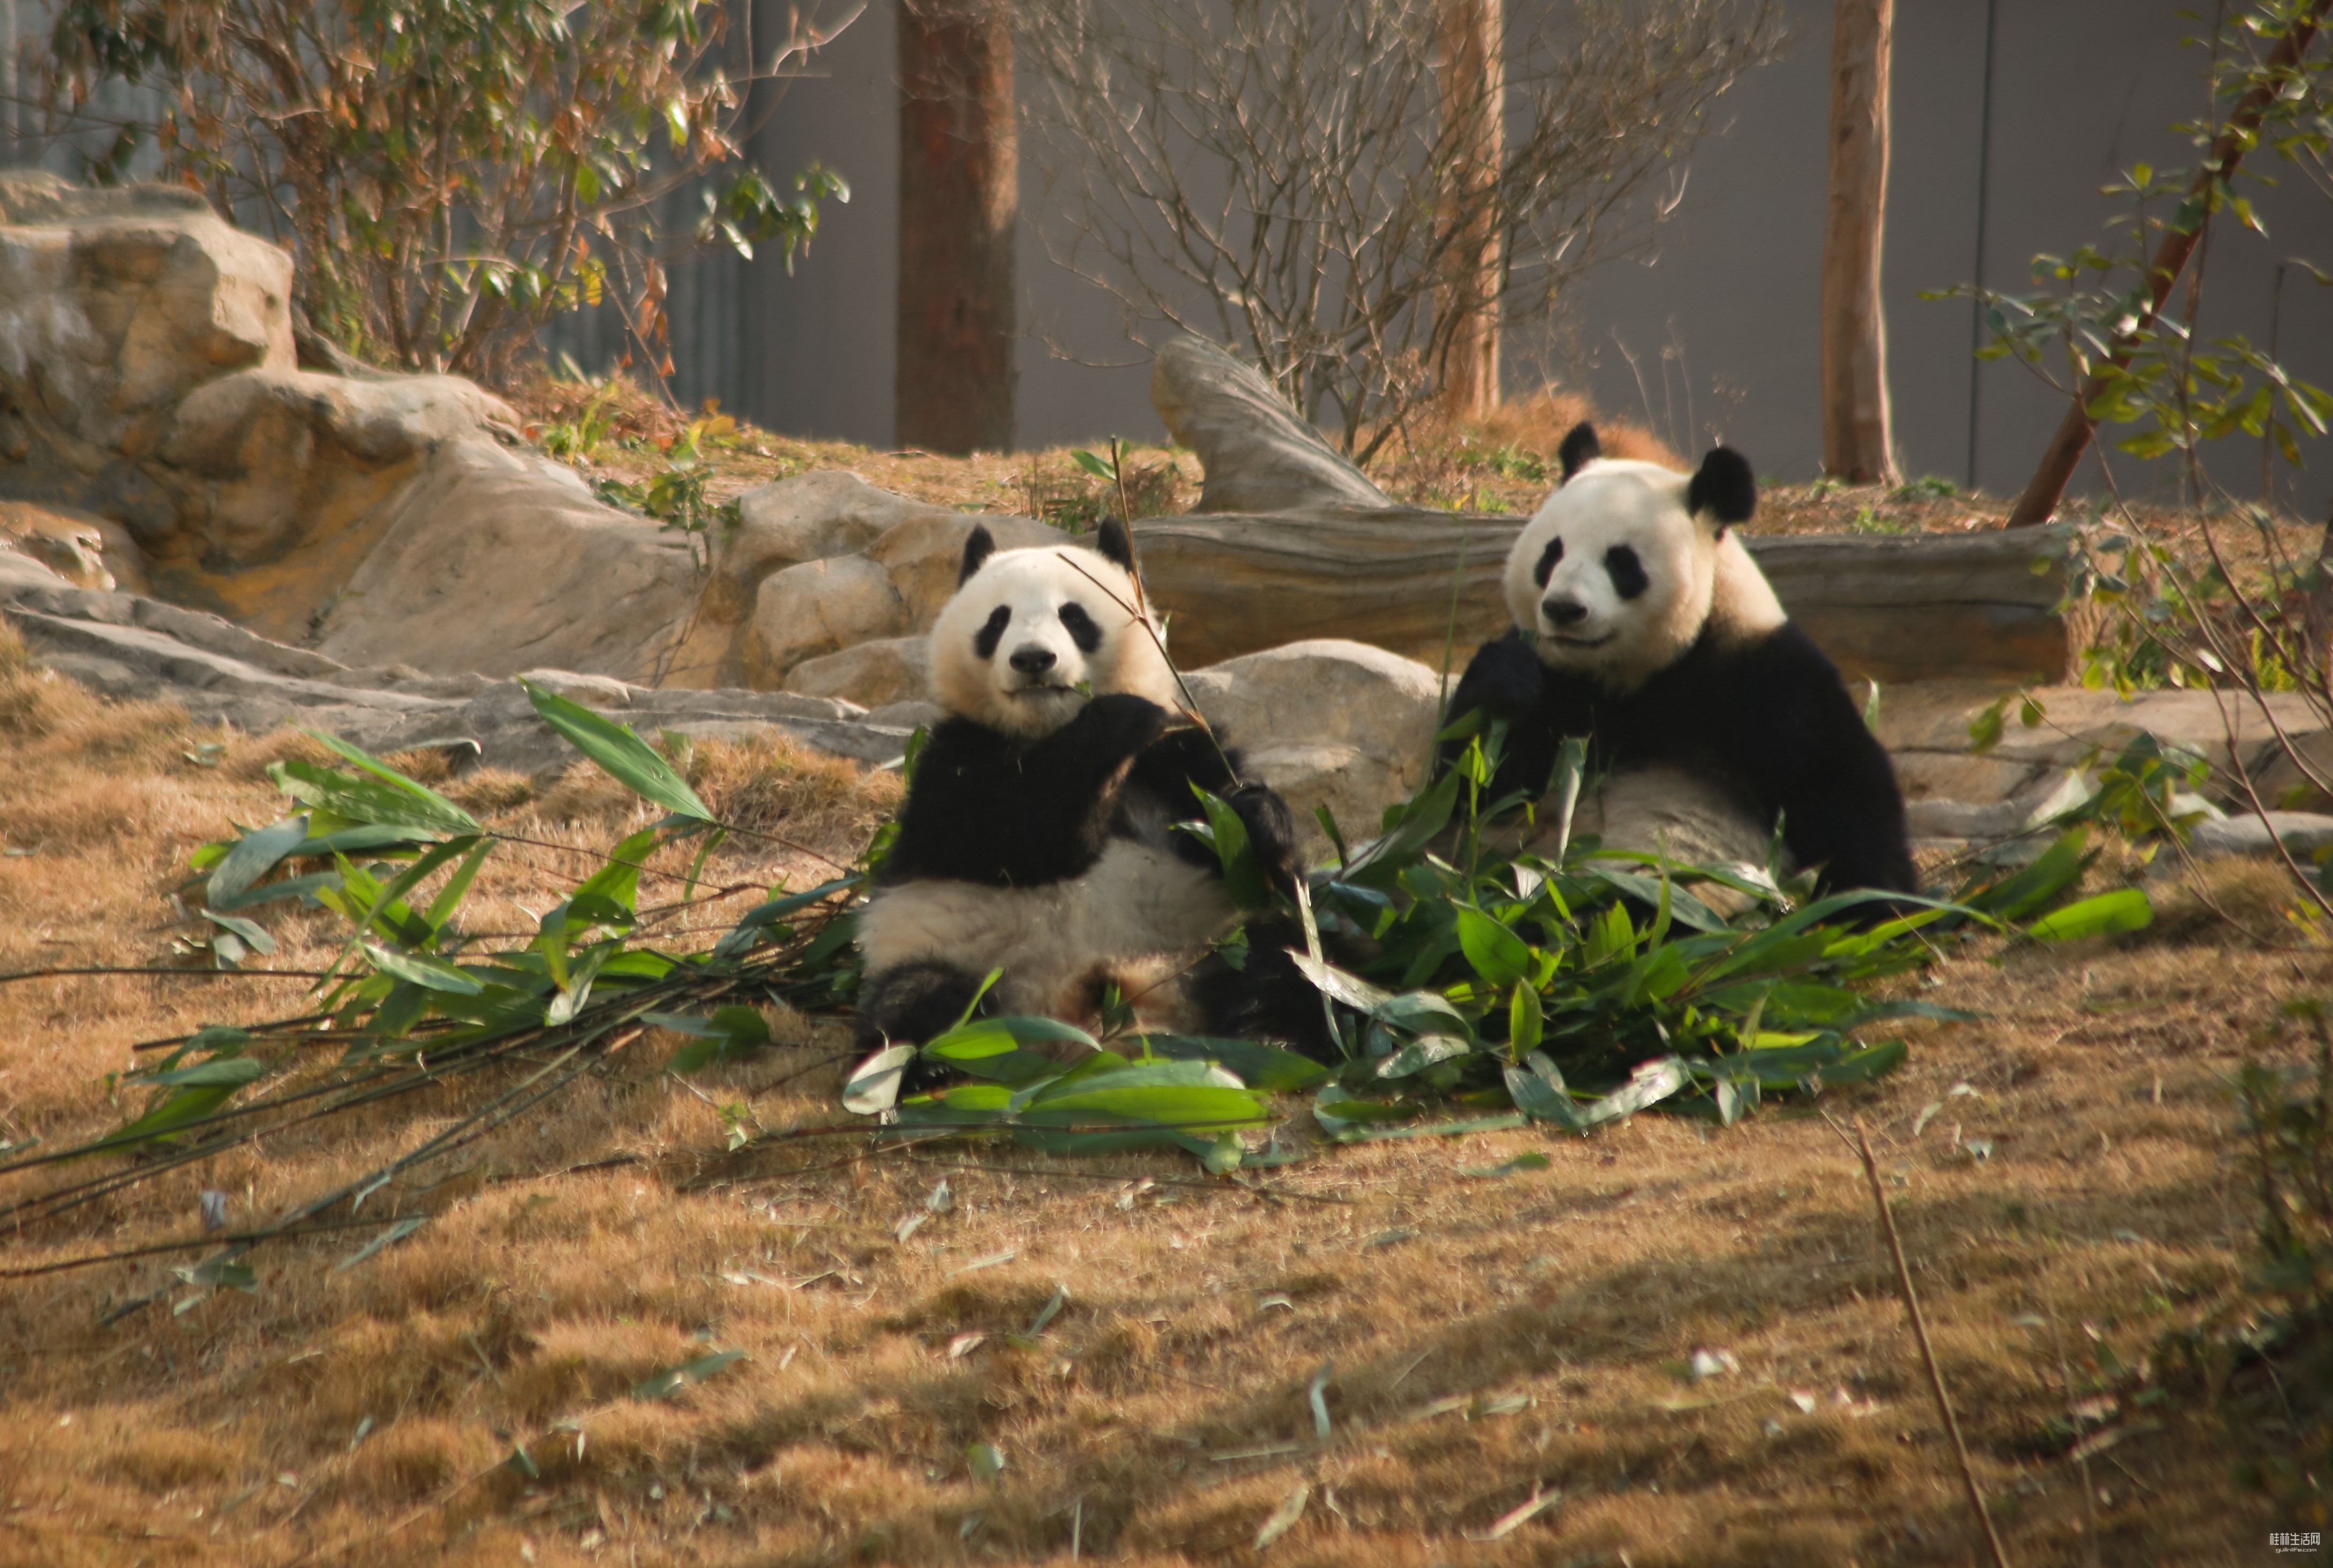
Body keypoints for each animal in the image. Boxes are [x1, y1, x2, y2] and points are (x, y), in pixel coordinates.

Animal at [853, 517, 1321, 1064]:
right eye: (998, 621)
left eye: (1074, 616)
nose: (1034, 659)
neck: (1049, 727)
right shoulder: (954, 763)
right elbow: (1016, 834)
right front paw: (1117, 720)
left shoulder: (1178, 760)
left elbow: (1249, 851)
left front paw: (1257, 816)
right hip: (955, 957)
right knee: (919, 1005)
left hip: (1220, 941)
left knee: (1284, 967)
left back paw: (1270, 1040)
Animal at [1441, 422, 1918, 903]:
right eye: (1552, 553)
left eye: (1622, 562)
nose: (1564, 609)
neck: (1637, 675)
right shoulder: (1561, 686)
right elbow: (1481, 792)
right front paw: (1505, 682)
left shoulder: (1763, 680)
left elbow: (1841, 796)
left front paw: (1876, 901)